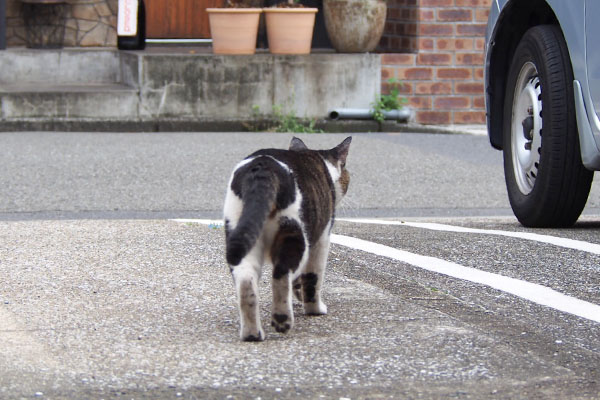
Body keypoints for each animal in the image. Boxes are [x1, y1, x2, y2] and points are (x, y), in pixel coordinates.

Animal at [223, 137, 350, 340]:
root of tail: (263, 167)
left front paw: (298, 294)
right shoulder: (321, 240)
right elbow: (313, 279)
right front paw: (314, 308)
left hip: (240, 232)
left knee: (246, 280)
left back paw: (252, 334)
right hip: (294, 233)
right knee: (281, 273)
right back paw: (282, 319)